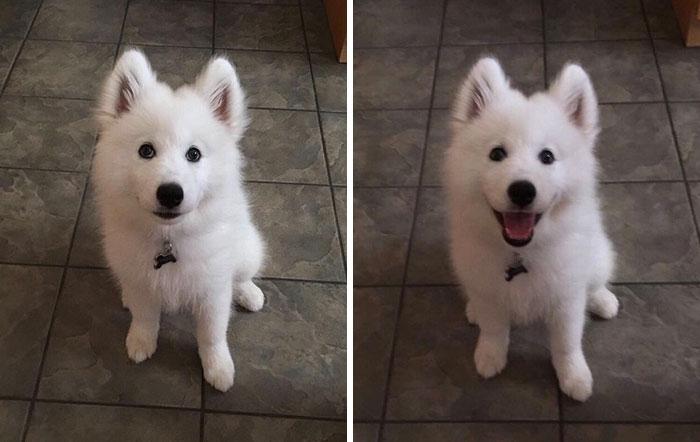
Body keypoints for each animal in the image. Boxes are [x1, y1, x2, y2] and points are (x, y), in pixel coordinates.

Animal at [92, 49, 265, 392]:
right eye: (146, 150)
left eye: (194, 154)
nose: (171, 193)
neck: (168, 238)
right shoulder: (142, 278)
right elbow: (145, 317)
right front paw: (140, 342)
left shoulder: (213, 289)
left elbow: (212, 334)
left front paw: (218, 369)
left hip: (248, 250)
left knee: (241, 276)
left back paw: (249, 293)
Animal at [444, 58, 619, 401]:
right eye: (497, 153)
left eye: (547, 157)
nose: (522, 190)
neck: (520, 254)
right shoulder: (489, 290)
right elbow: (494, 329)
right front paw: (489, 357)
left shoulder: (566, 298)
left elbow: (566, 342)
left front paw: (575, 378)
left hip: (598, 257)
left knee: (595, 282)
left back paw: (603, 301)